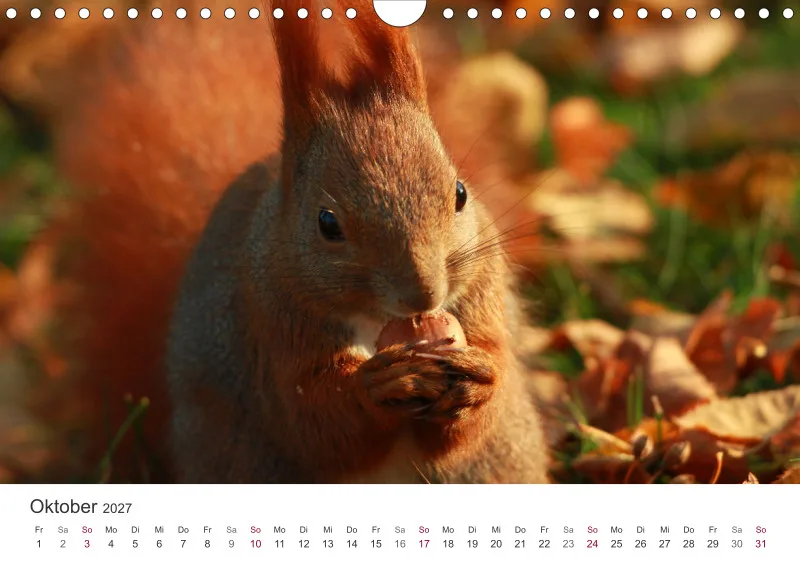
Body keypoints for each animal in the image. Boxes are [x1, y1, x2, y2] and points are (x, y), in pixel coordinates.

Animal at [32, 0, 550, 483]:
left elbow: (479, 394)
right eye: (327, 223)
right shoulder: (269, 322)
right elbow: (311, 421)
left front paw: (480, 382)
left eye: (460, 193)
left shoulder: (482, 292)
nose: (423, 295)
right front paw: (378, 386)